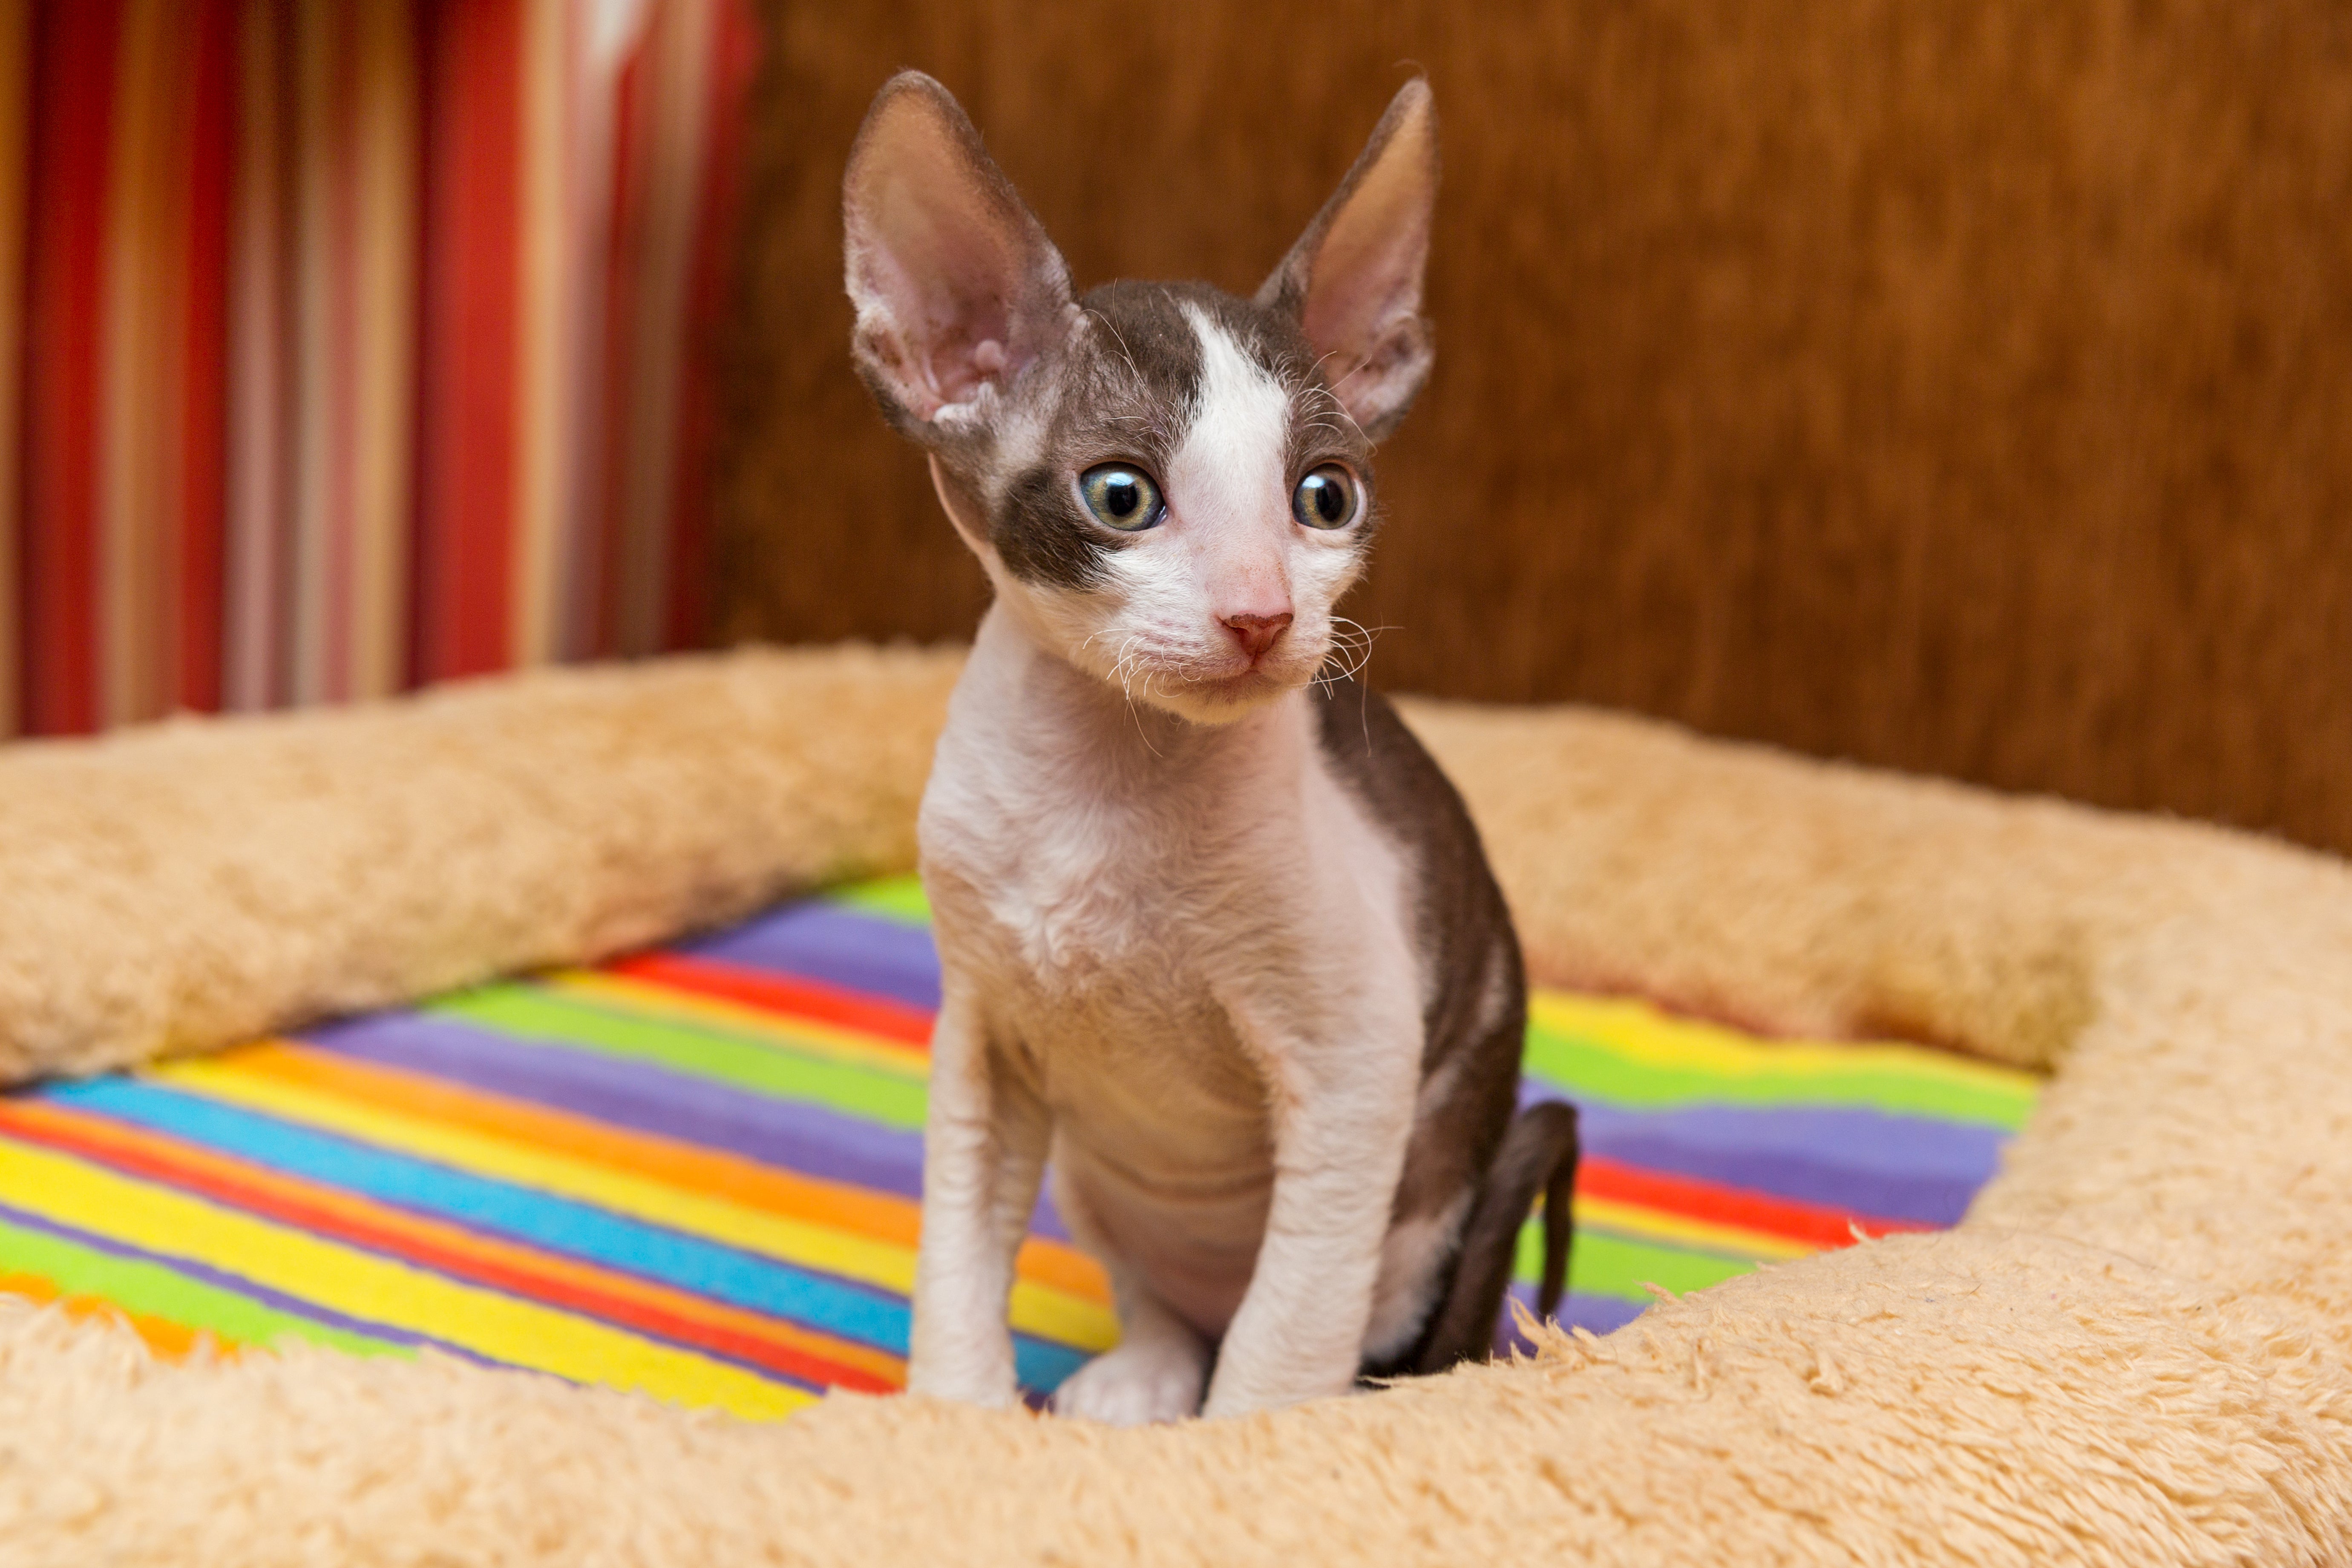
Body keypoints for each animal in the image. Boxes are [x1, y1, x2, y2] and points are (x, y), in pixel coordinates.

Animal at [846, 70, 1580, 1420]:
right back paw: (1142, 1371)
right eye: (1120, 497)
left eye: (1324, 498)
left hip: (1422, 1223)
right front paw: (956, 1419)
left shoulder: (1354, 1060)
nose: (1260, 614)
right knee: (1167, 1300)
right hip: (1098, 1182)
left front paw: (1246, 1449)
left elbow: (1286, 1336)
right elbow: (956, 1249)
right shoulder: (981, 1037)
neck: (1105, 788)